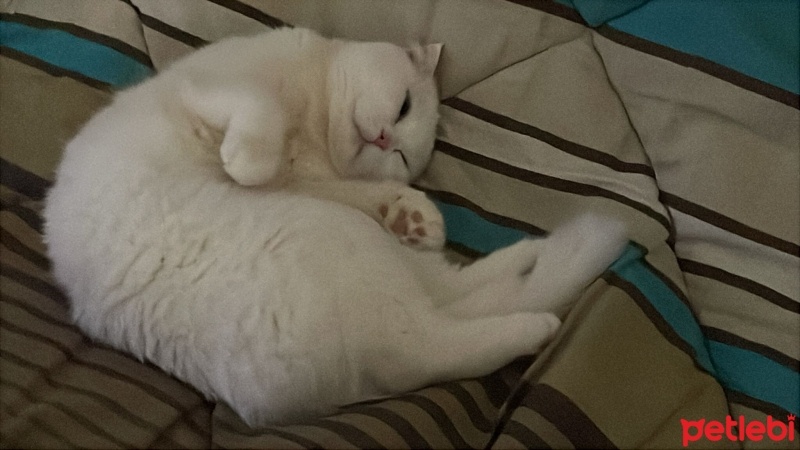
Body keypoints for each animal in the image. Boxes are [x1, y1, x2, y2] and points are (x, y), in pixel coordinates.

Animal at [42, 28, 632, 426]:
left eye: (400, 153)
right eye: (403, 106)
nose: (382, 139)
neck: (309, 127)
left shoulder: (317, 185)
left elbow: (366, 190)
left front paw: (414, 214)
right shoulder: (223, 90)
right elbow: (260, 113)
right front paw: (244, 162)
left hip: (342, 238)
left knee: (450, 315)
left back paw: (529, 278)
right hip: (349, 246)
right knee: (449, 316)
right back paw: (534, 302)